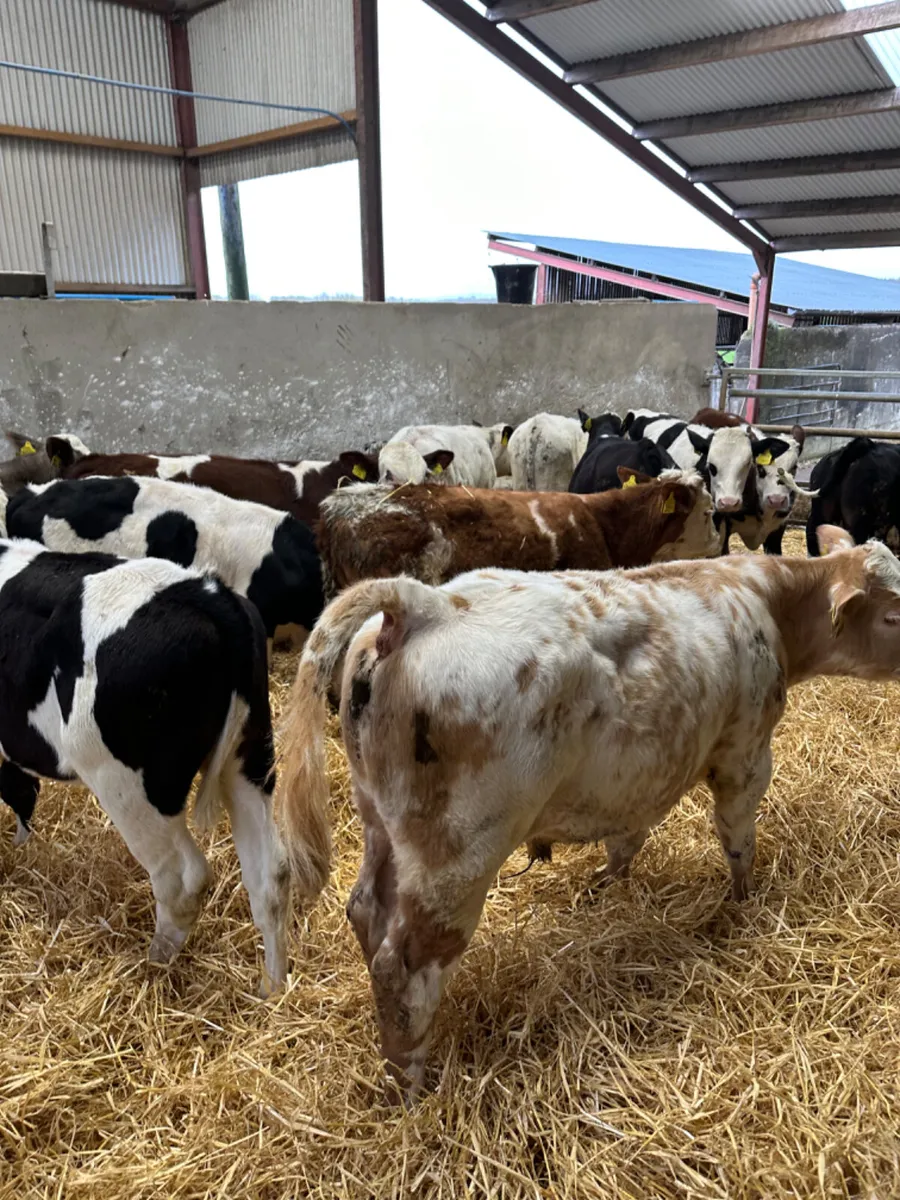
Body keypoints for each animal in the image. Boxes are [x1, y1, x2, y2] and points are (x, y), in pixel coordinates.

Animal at [0, 539, 329, 993]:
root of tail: (210, 593)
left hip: (129, 786)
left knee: (182, 878)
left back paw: (153, 967)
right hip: (249, 756)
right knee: (271, 875)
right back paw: (273, 991)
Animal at [276, 524, 900, 1099]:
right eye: (894, 615)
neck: (761, 597)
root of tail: (424, 604)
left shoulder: (640, 774)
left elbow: (628, 837)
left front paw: (604, 886)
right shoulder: (745, 753)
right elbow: (737, 837)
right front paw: (742, 902)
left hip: (381, 824)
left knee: (365, 913)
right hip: (454, 860)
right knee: (403, 966)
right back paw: (409, 1085)